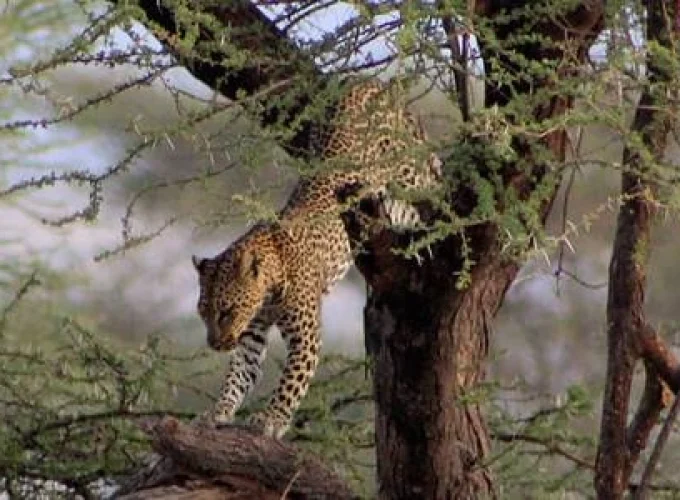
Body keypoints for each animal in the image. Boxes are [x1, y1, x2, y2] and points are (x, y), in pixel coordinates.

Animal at [192, 78, 442, 438]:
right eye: (204, 313)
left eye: (226, 312)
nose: (214, 344)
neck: (270, 283)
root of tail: (369, 81)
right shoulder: (251, 334)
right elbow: (238, 374)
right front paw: (219, 412)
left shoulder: (306, 335)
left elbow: (290, 381)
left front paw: (271, 420)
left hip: (411, 172)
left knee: (437, 187)